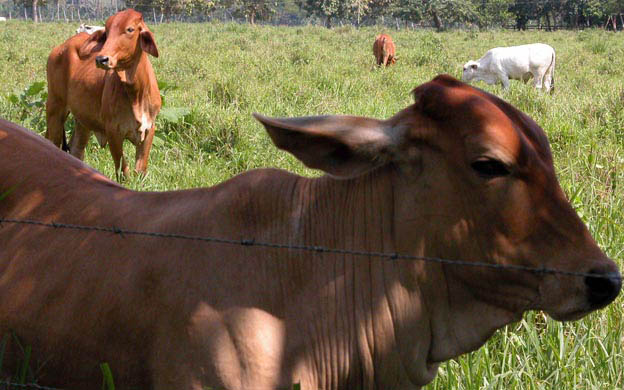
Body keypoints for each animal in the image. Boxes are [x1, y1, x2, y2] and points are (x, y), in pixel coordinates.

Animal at [47, 8, 162, 178]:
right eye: (107, 32)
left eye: (130, 29)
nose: (101, 59)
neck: (136, 92)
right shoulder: (113, 131)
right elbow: (123, 172)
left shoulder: (149, 129)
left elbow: (140, 171)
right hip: (55, 108)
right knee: (51, 143)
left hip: (82, 120)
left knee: (76, 149)